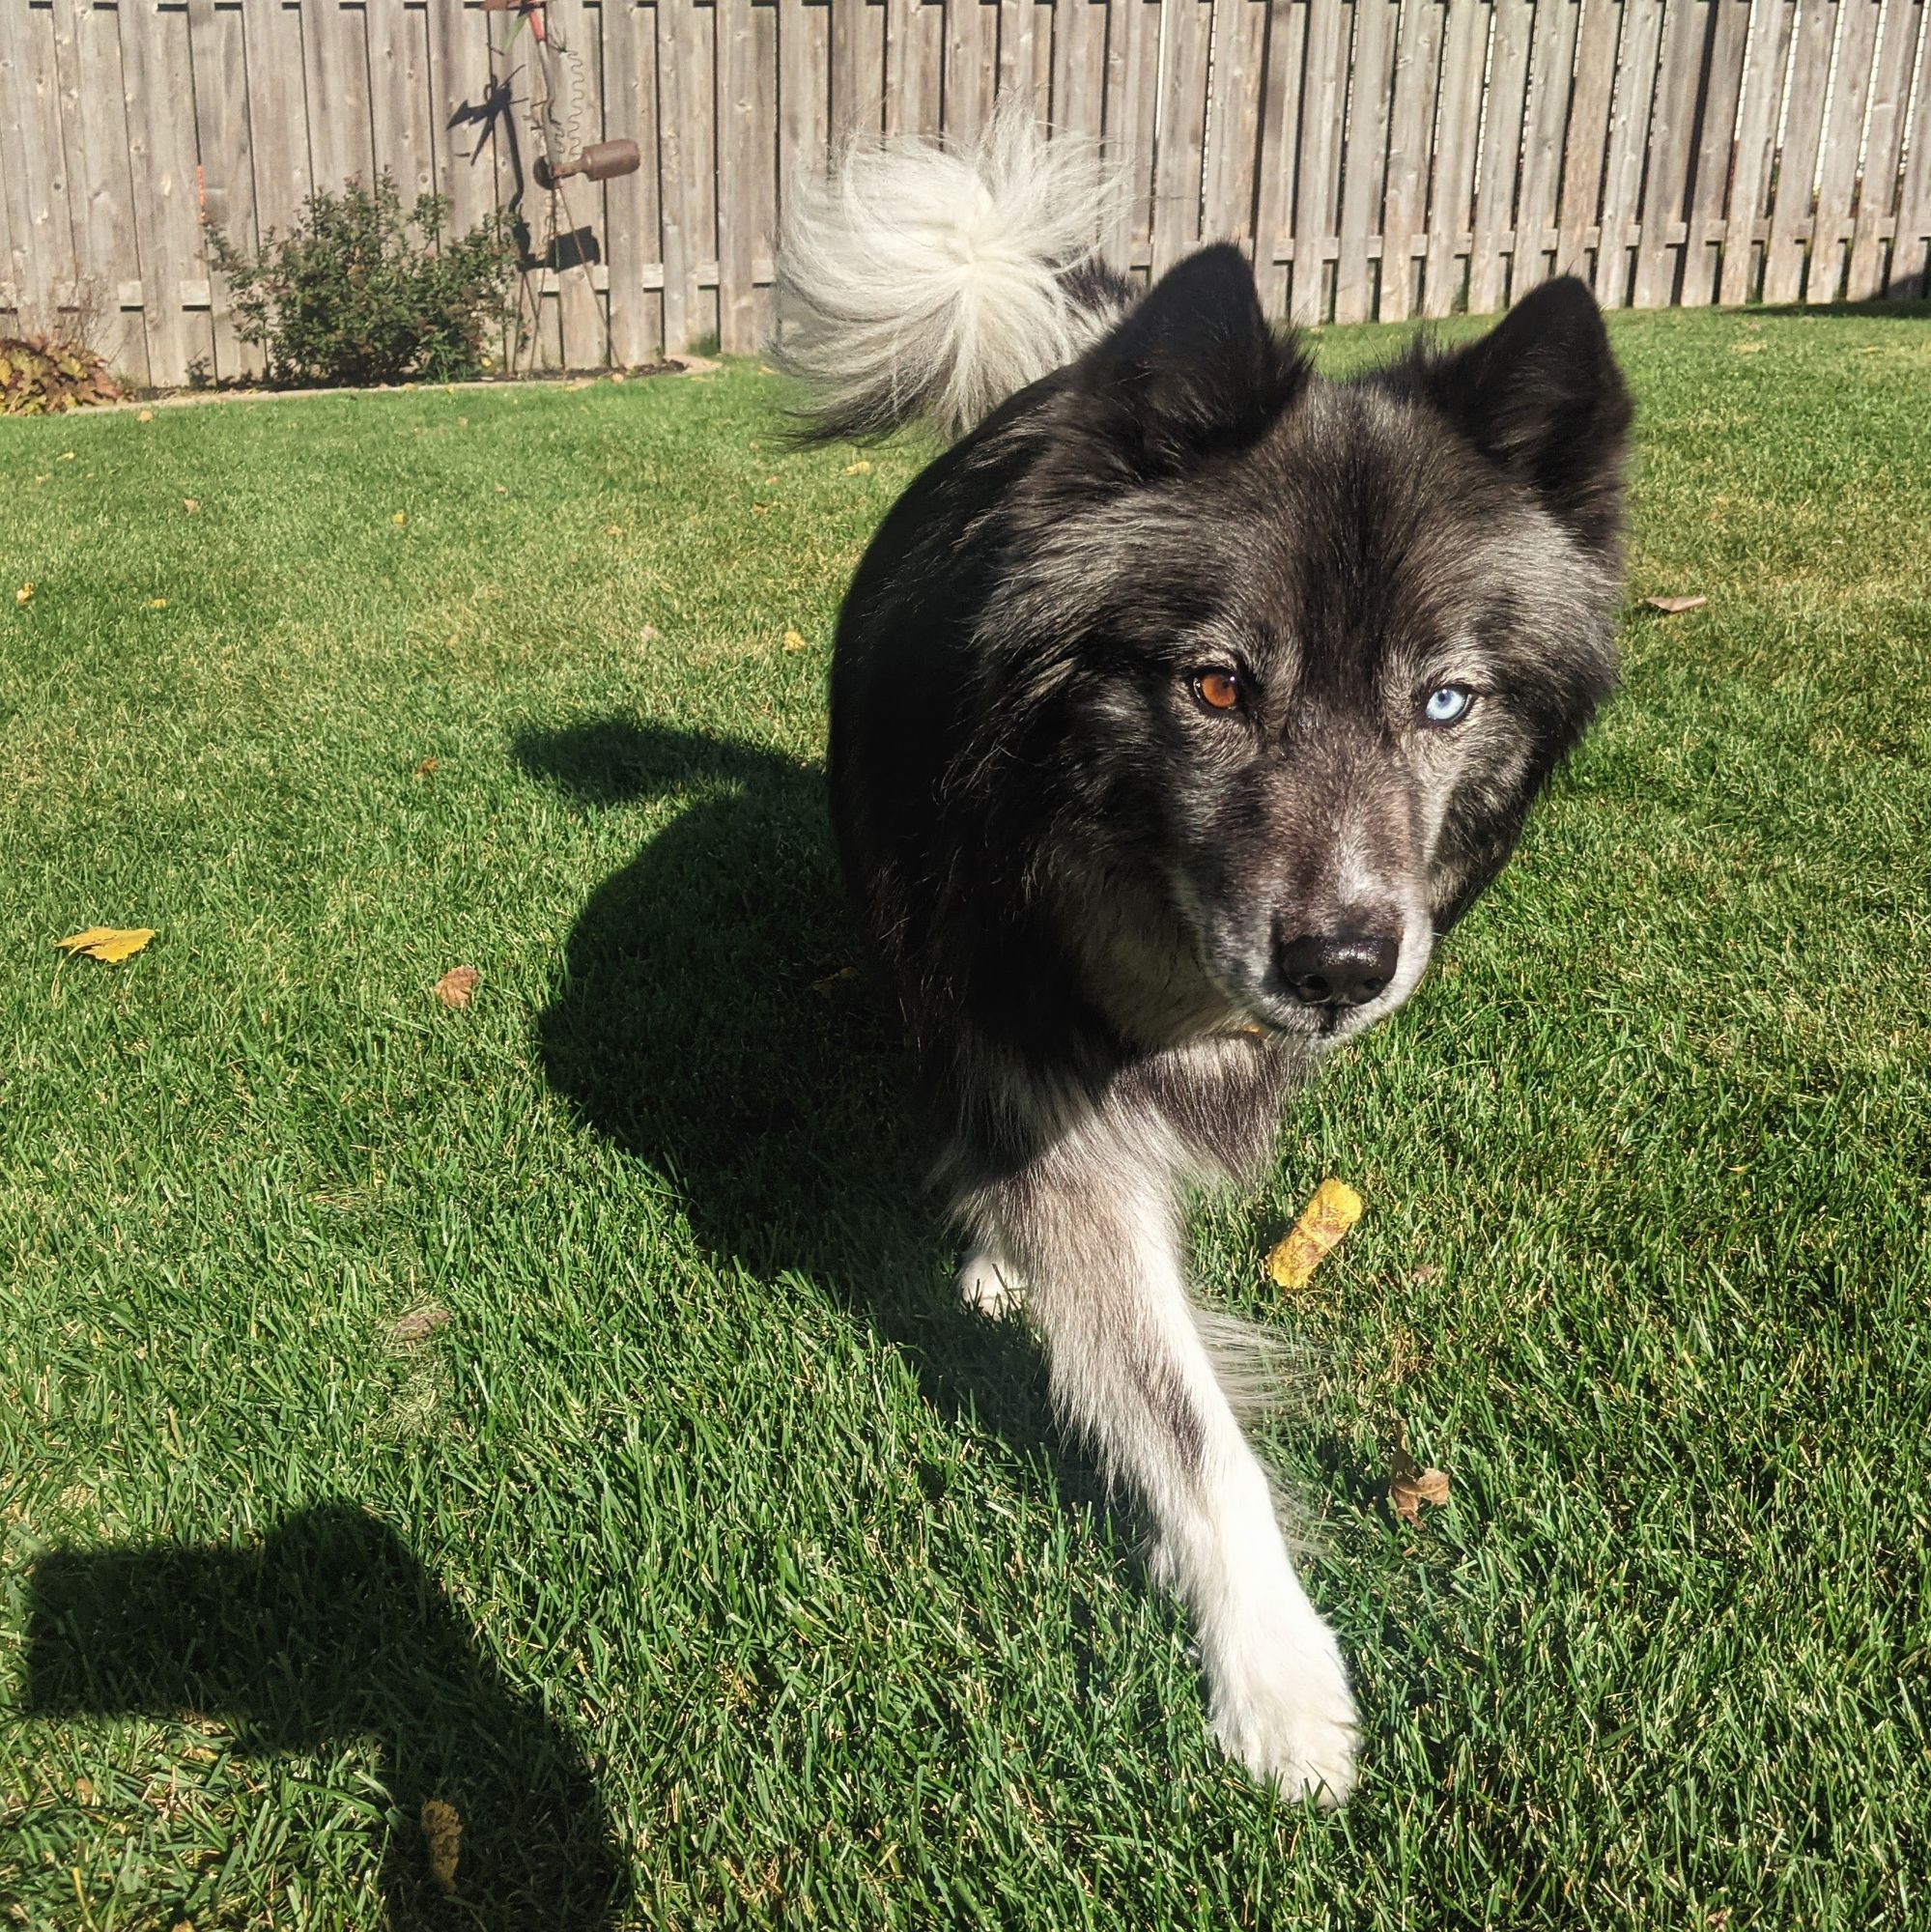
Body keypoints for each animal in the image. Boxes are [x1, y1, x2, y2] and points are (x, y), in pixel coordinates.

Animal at [768, 113, 1630, 1801]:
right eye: (1217, 686)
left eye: (1445, 701)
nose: (1340, 965)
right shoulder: (1024, 1041)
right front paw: (1278, 1675)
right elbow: (1180, 1416)